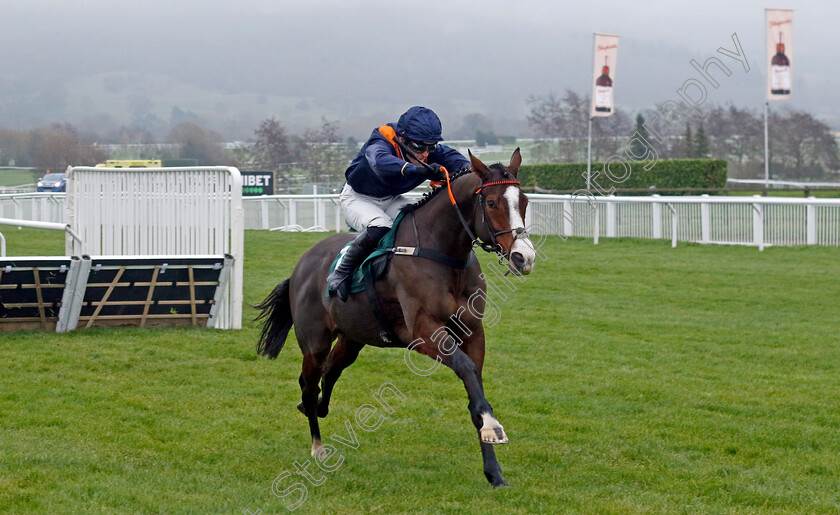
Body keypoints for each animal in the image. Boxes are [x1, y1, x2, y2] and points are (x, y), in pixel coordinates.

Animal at [253, 149, 536, 488]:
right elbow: (466, 370)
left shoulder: (472, 332)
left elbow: (474, 389)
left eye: (524, 201)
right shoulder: (424, 333)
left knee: (329, 375)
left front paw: (494, 471)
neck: (442, 254)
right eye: (491, 203)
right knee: (309, 386)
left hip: (351, 339)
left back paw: (320, 410)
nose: (524, 257)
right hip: (314, 342)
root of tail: (301, 265)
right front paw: (493, 427)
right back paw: (317, 447)